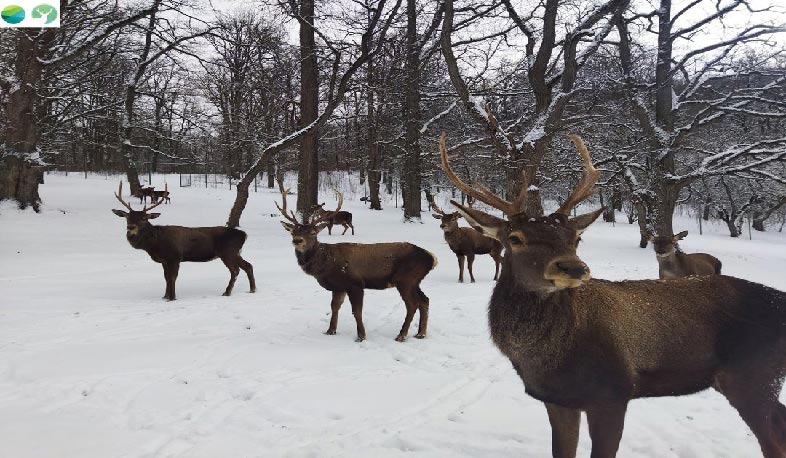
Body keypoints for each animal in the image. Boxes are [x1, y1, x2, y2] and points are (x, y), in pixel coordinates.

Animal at [110, 181, 254, 302]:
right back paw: (252, 289)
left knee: (235, 270)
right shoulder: (164, 260)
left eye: (144, 218)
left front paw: (172, 298)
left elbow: (172, 278)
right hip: (236, 252)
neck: (155, 243)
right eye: (127, 217)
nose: (131, 227)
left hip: (228, 252)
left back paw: (227, 292)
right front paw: (165, 296)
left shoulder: (175, 257)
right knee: (248, 265)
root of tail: (244, 234)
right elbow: (166, 278)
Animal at [276, 188, 434, 342]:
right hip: (415, 281)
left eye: (313, 232)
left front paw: (361, 336)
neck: (326, 265)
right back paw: (421, 333)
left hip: (405, 279)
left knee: (412, 305)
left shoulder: (355, 283)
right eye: (293, 232)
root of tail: (432, 258)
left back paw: (401, 335)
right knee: (424, 300)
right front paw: (330, 330)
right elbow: (334, 307)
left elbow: (357, 312)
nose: (297, 240)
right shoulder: (339, 287)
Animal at [438, 132, 784, 458]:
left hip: (754, 375)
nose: (573, 267)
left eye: (575, 238)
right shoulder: (557, 400)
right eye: (515, 238)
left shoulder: (613, 393)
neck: (544, 361)